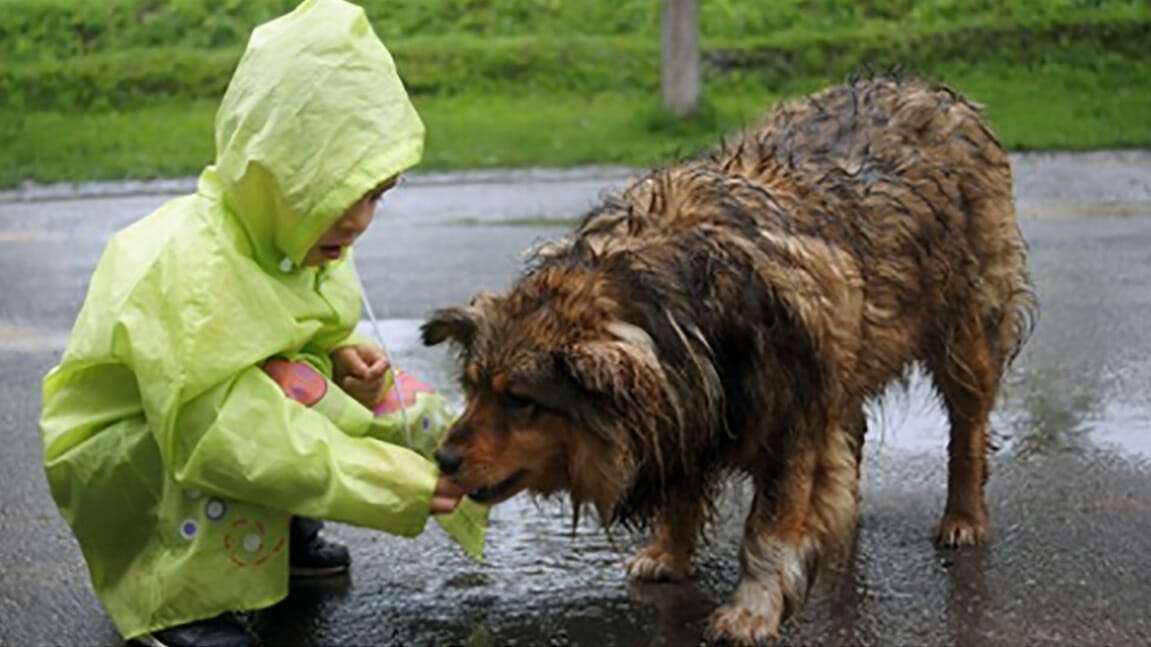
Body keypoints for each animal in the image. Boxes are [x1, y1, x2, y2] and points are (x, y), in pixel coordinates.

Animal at [421, 78, 1035, 640]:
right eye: (472, 386)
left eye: (521, 401)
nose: (443, 459)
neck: (666, 304)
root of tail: (925, 87)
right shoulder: (693, 406)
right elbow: (683, 492)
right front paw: (669, 552)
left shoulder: (790, 421)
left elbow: (768, 530)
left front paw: (752, 608)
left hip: (966, 332)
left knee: (967, 429)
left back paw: (962, 516)